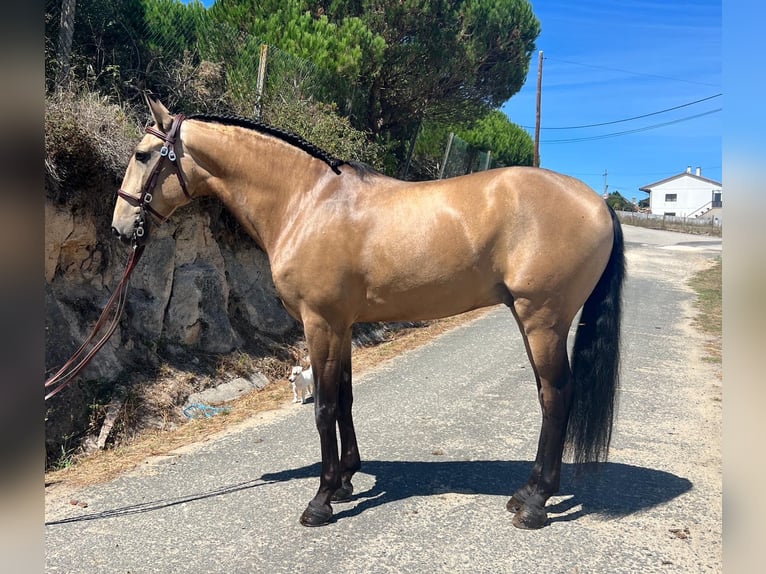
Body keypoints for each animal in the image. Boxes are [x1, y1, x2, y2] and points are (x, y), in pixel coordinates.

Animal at [112, 94, 624, 532]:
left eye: (142, 155)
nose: (120, 228)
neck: (308, 202)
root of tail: (598, 204)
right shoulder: (341, 326)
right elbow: (345, 398)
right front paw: (344, 481)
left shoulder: (319, 323)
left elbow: (323, 407)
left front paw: (320, 501)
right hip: (531, 321)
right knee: (547, 396)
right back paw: (526, 492)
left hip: (542, 321)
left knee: (557, 398)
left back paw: (536, 504)